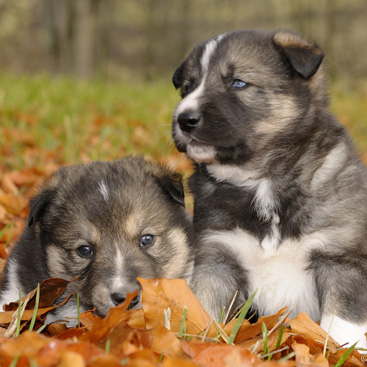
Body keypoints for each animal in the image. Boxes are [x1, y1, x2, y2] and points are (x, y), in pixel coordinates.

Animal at [172, 30, 367, 350]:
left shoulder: (341, 258)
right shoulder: (217, 258)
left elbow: (341, 325)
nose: (184, 119)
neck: (262, 180)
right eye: (188, 87)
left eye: (238, 82)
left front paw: (340, 352)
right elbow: (203, 308)